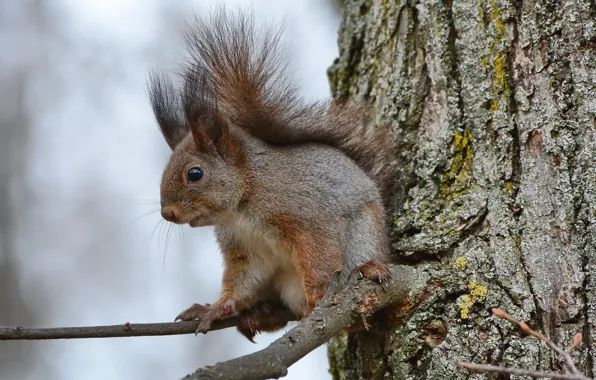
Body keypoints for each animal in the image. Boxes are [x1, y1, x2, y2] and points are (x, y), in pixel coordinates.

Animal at [148, 8, 396, 342]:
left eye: (195, 173)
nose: (167, 213)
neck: (242, 205)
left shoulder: (307, 217)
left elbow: (320, 259)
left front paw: (318, 297)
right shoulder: (244, 249)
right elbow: (241, 280)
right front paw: (216, 307)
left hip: (362, 236)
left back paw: (367, 270)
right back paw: (259, 314)